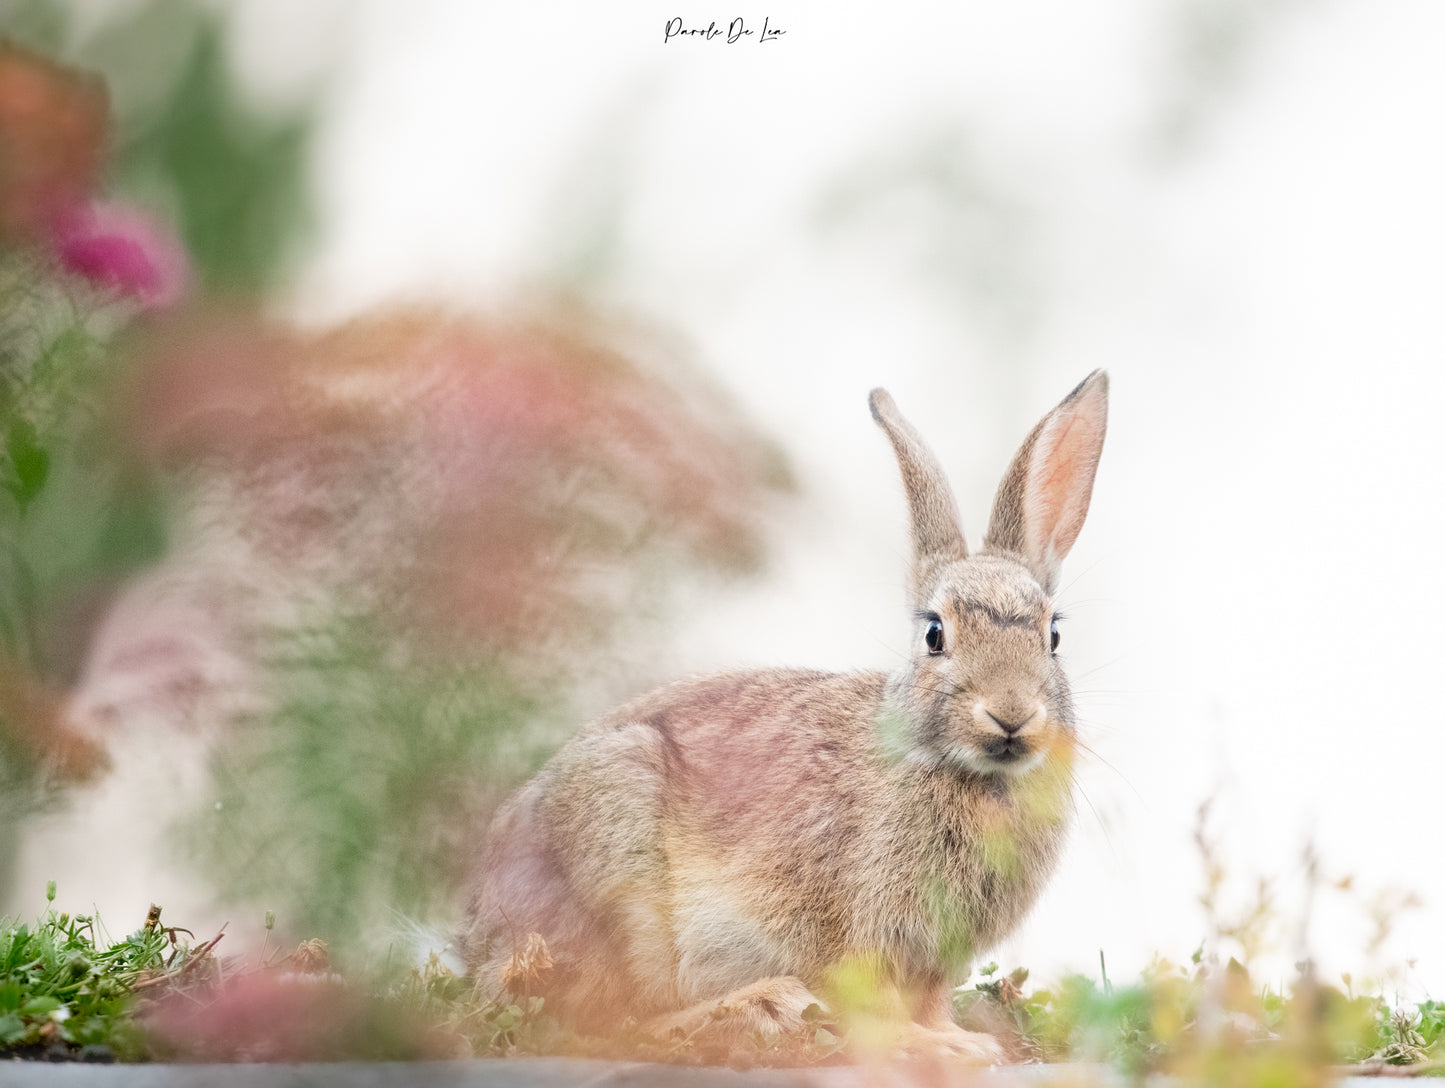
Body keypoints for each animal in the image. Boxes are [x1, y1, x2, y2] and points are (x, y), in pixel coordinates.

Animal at [462, 369, 1103, 1057]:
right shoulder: (862, 930)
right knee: (613, 1019)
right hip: (622, 882)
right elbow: (879, 1007)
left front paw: (962, 1043)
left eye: (1053, 636)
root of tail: (476, 939)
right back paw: (767, 1006)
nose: (1011, 714)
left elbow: (931, 1002)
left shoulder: (936, 961)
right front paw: (935, 1048)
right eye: (935, 634)